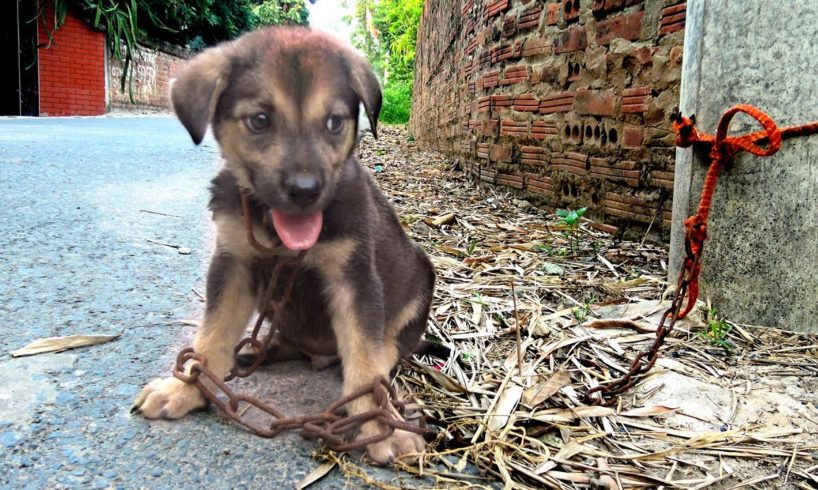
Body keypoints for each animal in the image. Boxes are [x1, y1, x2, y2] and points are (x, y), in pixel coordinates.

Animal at [134, 26, 436, 464]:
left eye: (334, 122)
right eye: (259, 120)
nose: (305, 191)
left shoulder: (354, 278)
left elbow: (365, 361)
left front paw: (382, 426)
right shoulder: (232, 264)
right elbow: (211, 337)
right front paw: (187, 389)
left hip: (422, 278)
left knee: (386, 348)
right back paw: (262, 350)